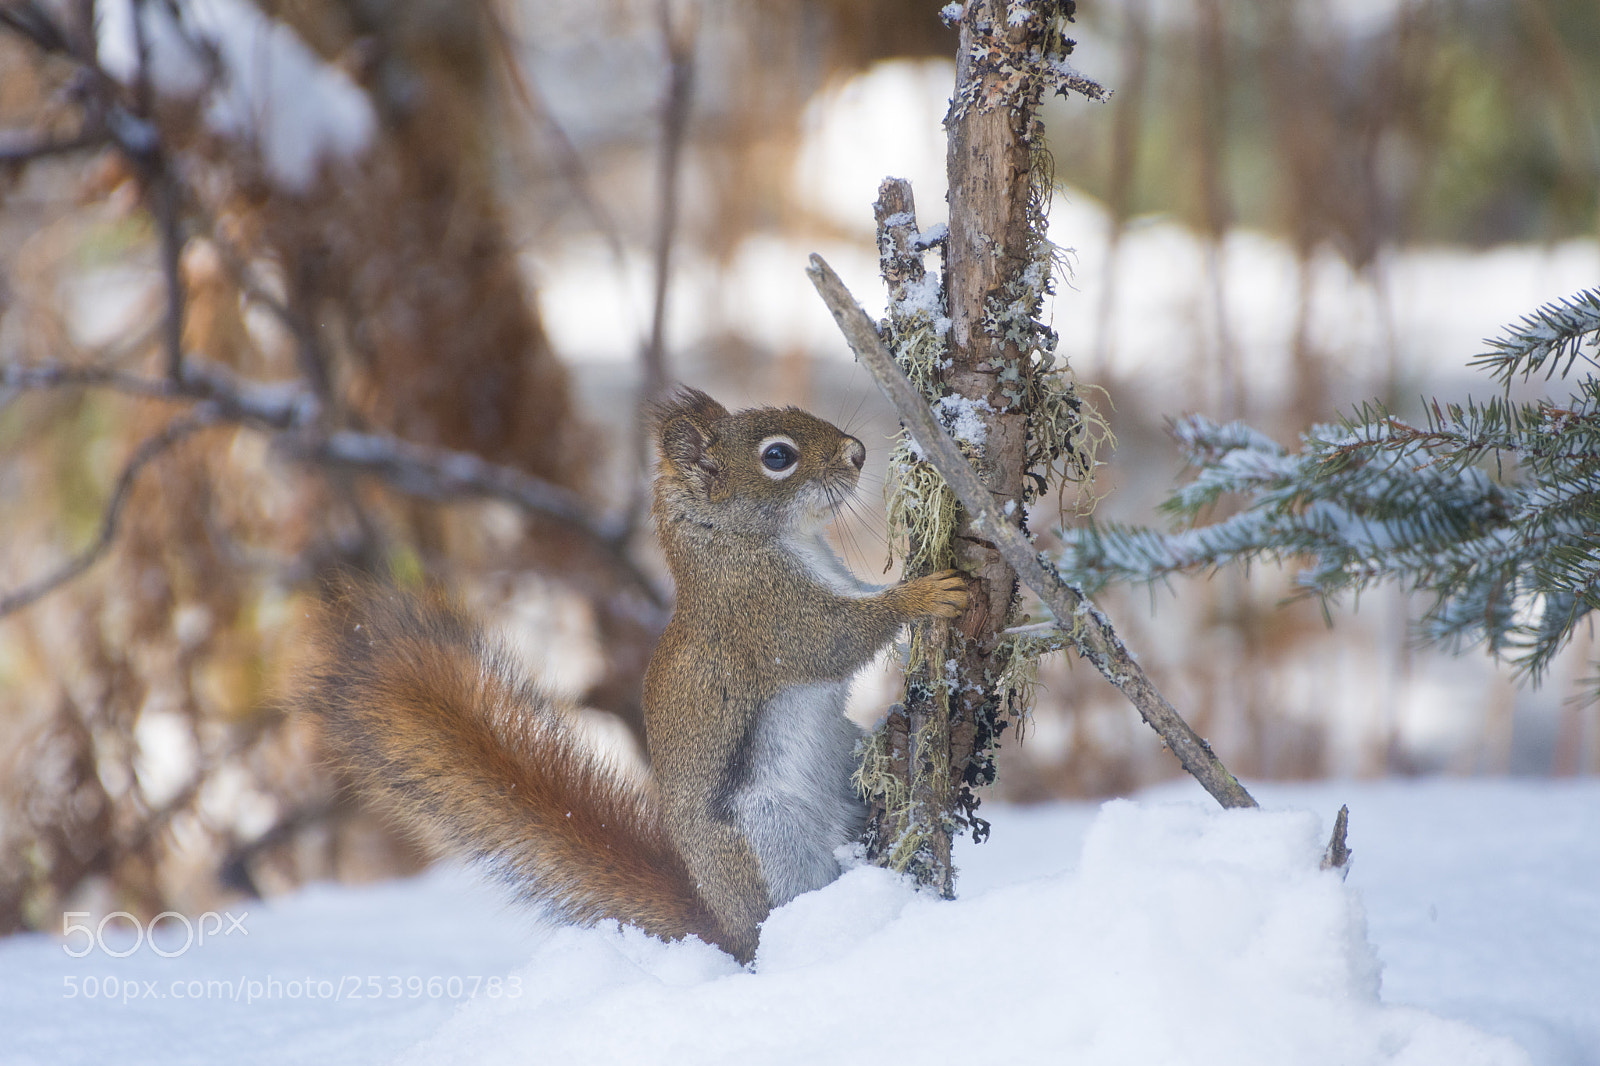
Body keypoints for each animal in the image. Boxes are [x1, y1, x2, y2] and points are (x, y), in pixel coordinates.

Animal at [300, 387, 969, 963]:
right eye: (777, 456)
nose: (857, 452)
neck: (741, 542)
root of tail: (724, 929)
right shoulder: (763, 618)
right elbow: (835, 640)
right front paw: (922, 595)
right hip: (768, 843)